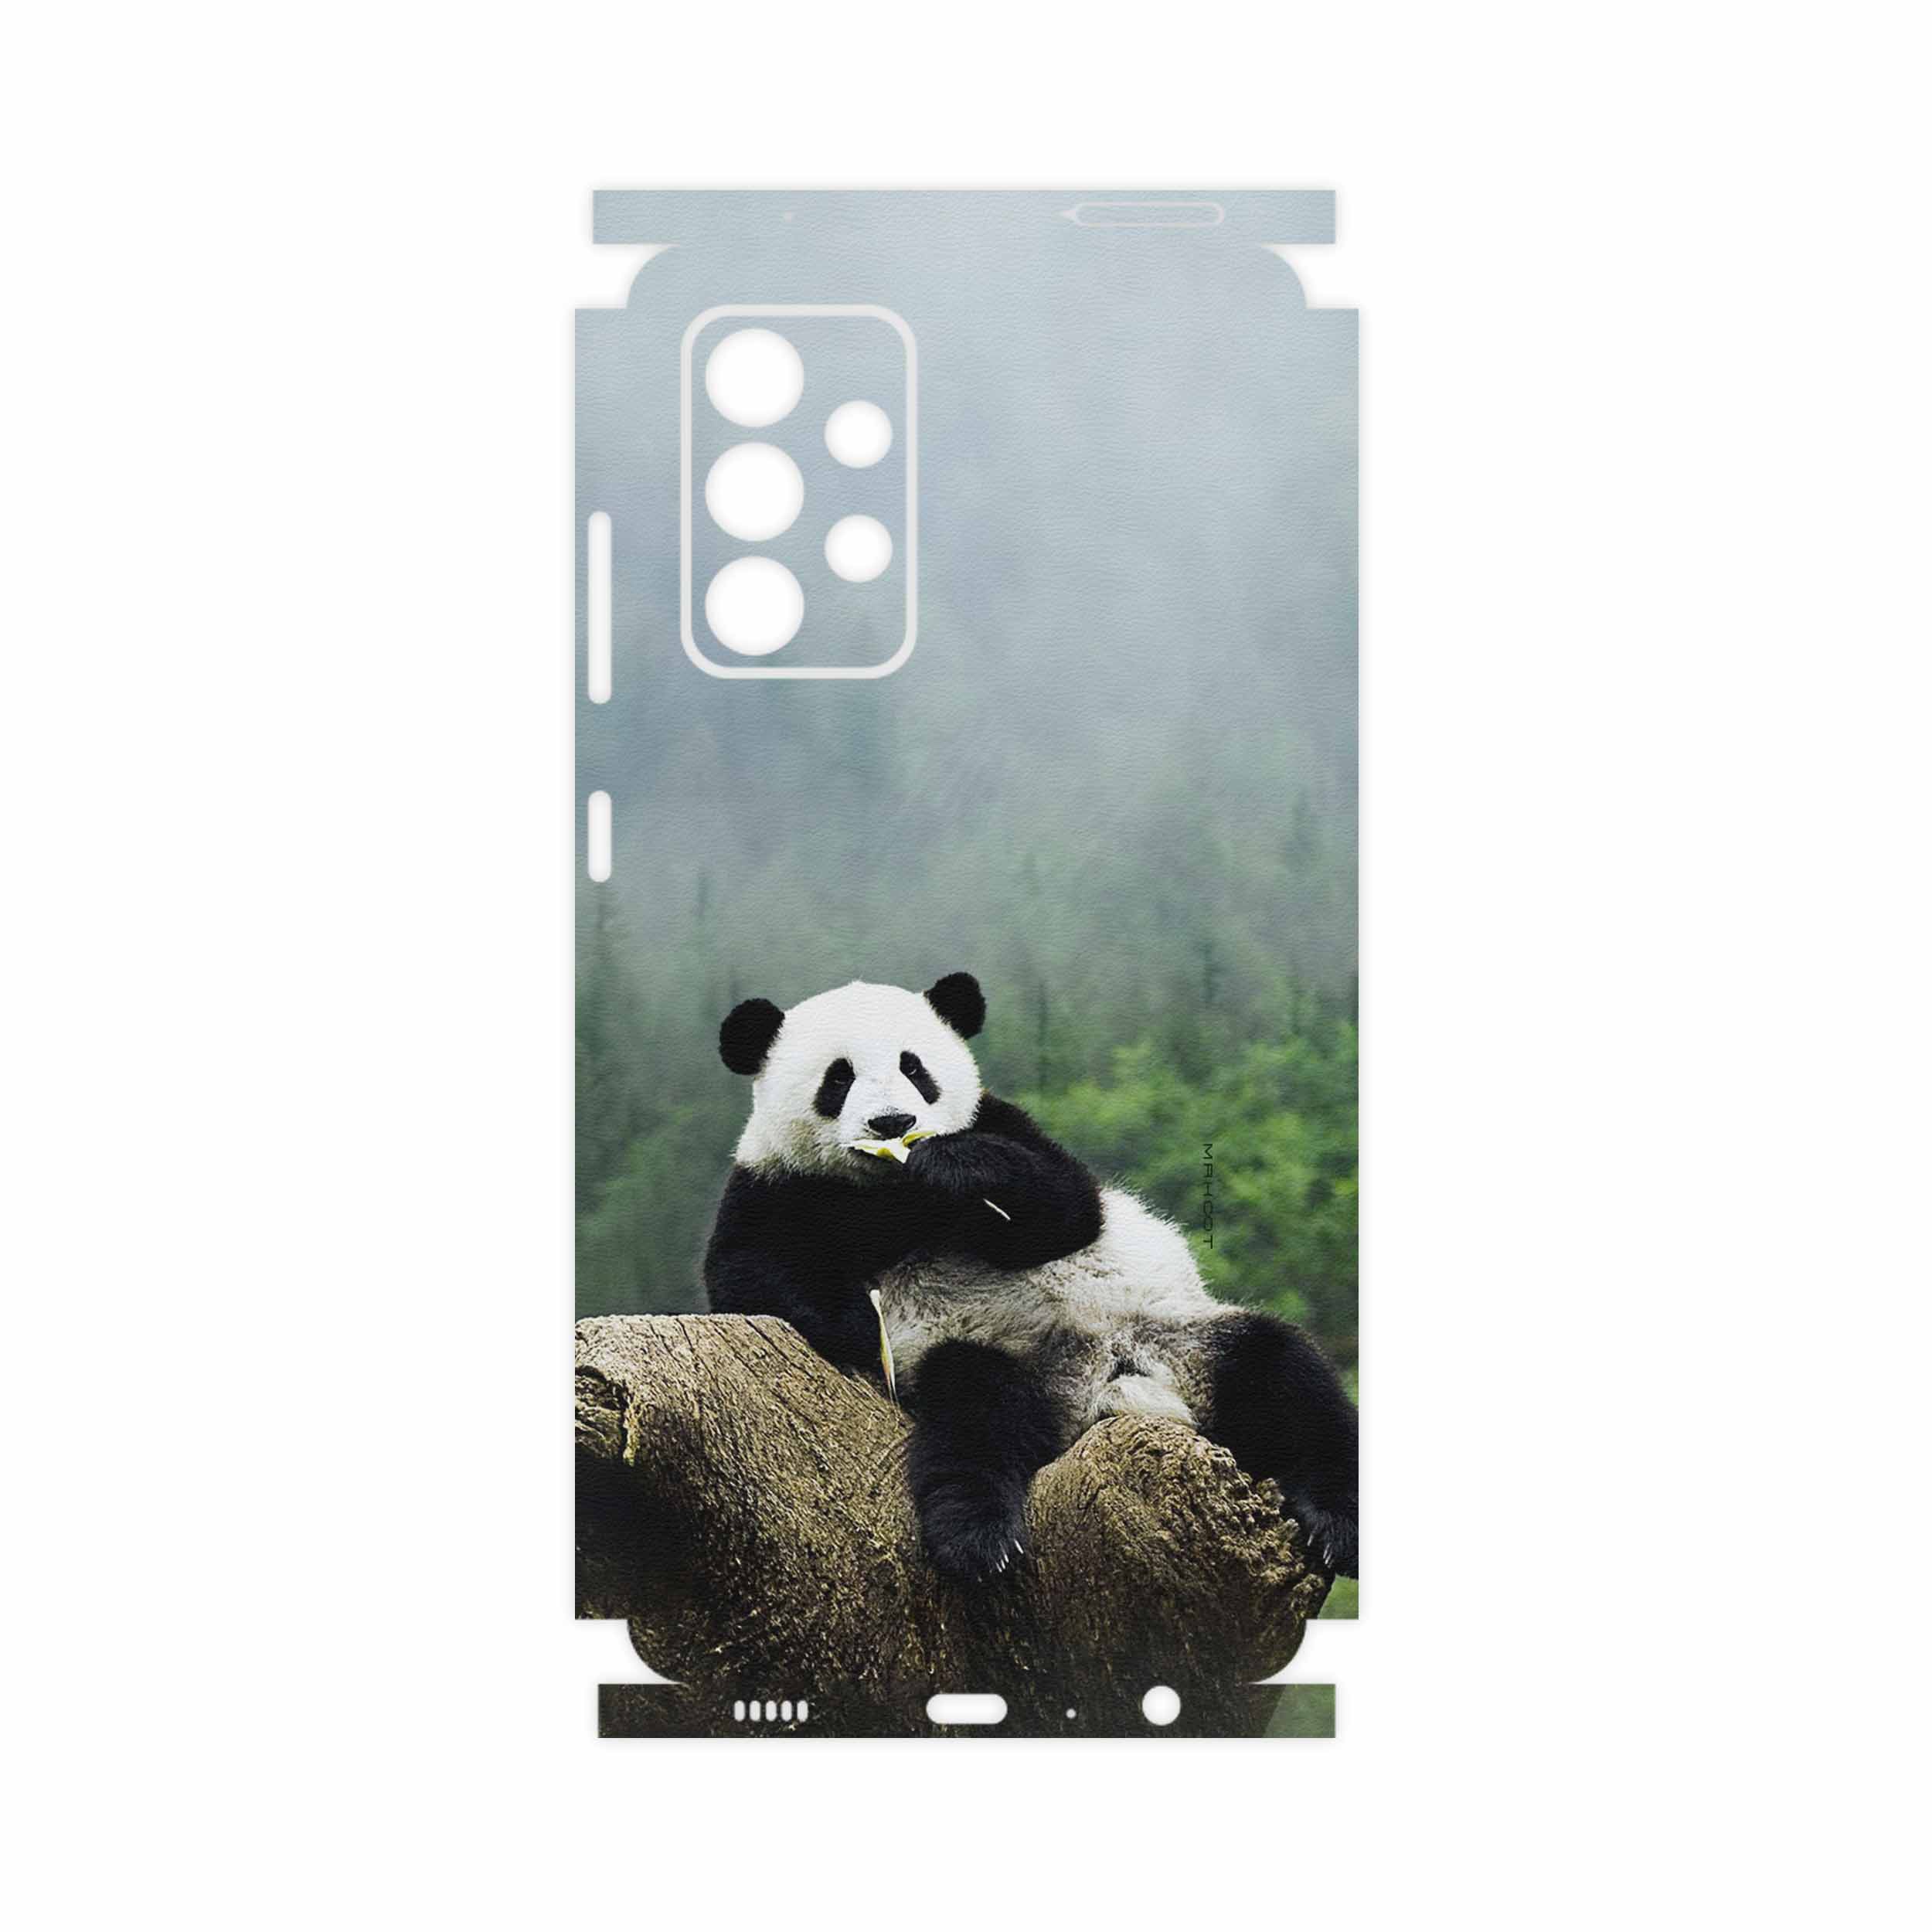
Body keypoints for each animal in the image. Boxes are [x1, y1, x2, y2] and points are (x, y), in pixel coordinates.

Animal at [703, 972, 1359, 1583]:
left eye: (914, 1068)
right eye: (838, 1078)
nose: (893, 1122)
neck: (891, 1192)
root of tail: (1106, 1387)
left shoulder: (1003, 1123)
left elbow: (1068, 1209)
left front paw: (956, 1166)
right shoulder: (775, 1185)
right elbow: (747, 1273)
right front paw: (861, 1324)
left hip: (1182, 1337)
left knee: (1286, 1375)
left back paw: (1337, 1524)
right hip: (997, 1358)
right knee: (974, 1417)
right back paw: (979, 1539)